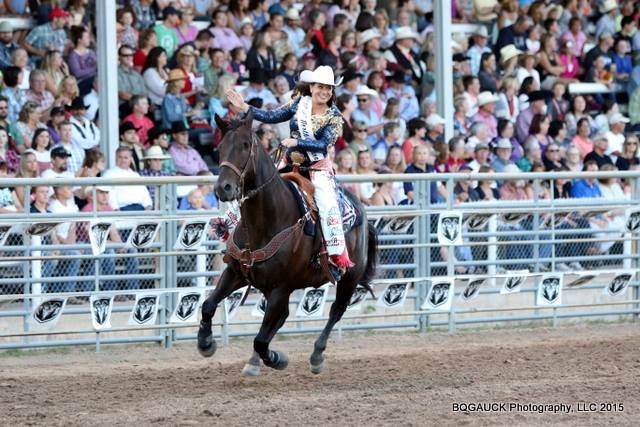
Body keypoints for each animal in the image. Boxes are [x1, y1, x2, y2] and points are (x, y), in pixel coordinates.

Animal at [197, 111, 378, 375]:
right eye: (220, 147)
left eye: (245, 145)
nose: (223, 188)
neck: (265, 222)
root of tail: (361, 210)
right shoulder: (236, 273)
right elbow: (209, 305)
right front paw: (205, 343)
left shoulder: (280, 289)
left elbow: (261, 340)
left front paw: (277, 359)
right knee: (281, 319)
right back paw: (254, 361)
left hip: (349, 278)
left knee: (336, 310)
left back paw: (316, 356)